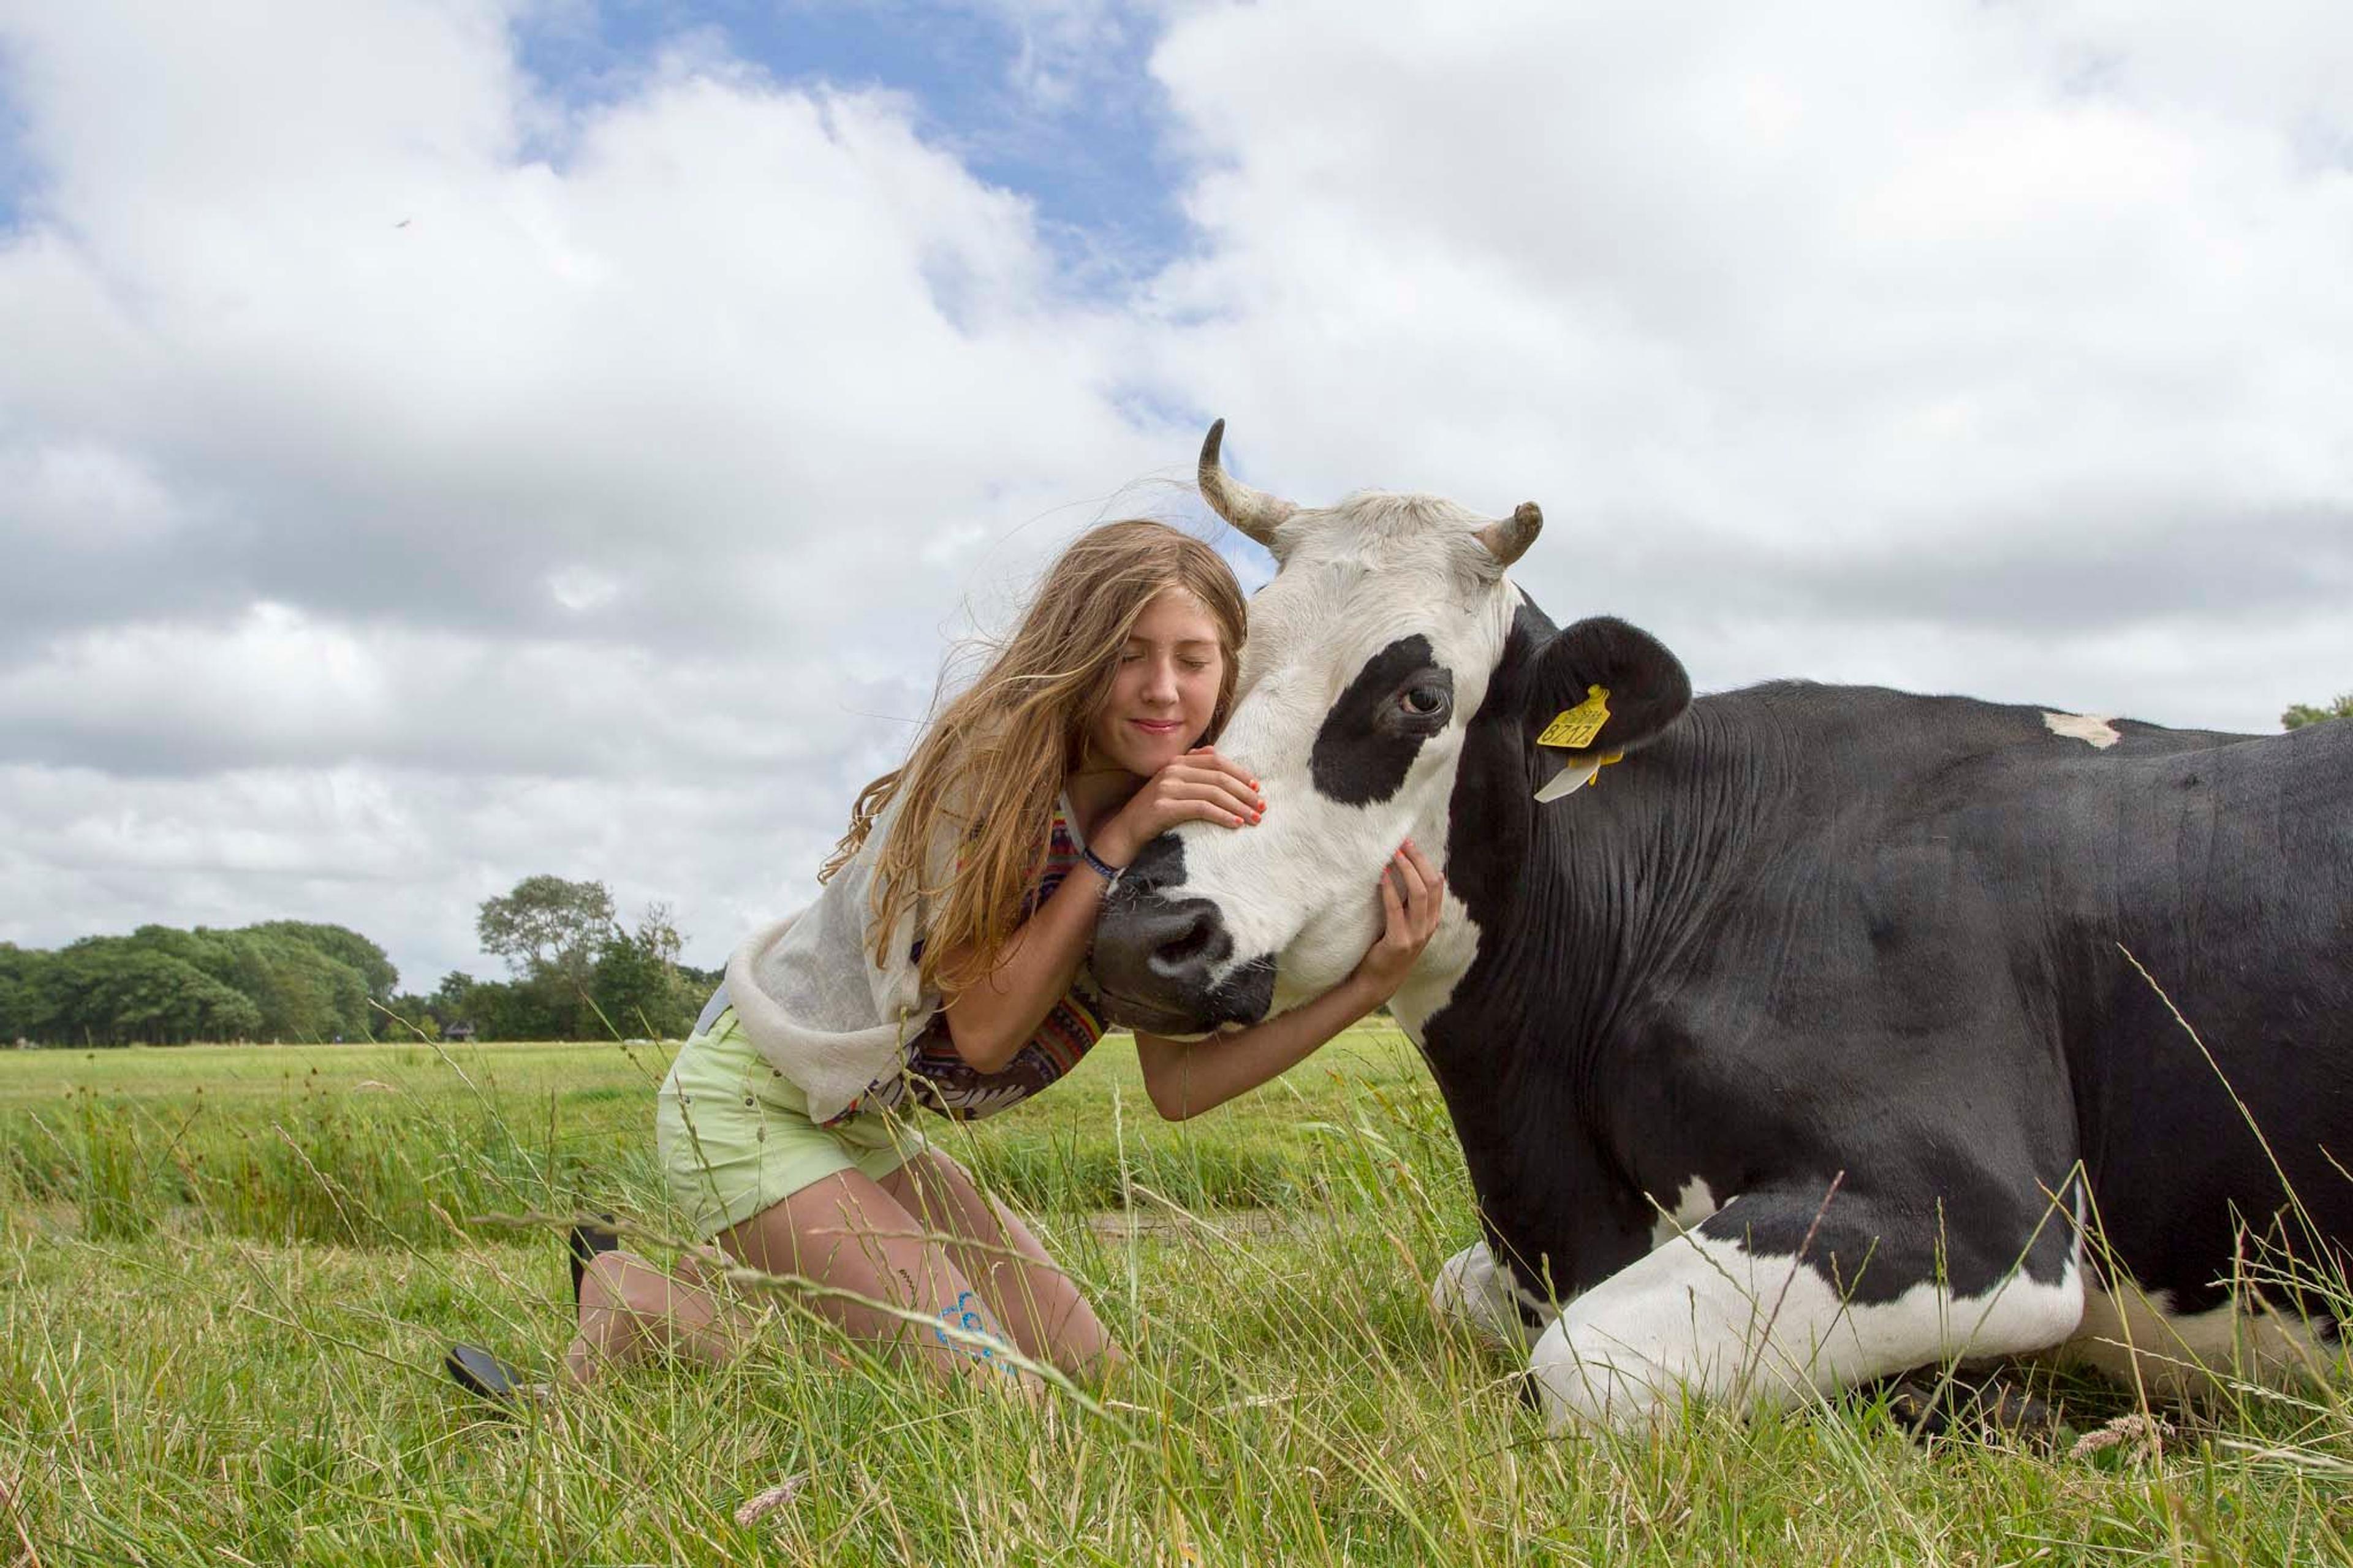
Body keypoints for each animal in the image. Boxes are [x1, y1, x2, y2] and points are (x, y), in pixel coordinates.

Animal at [1096, 419, 2353, 1431]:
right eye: (1224, 666)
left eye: (1419, 695)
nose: (1145, 931)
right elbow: (1461, 1293)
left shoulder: (1975, 1214)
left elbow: (1579, 1364)